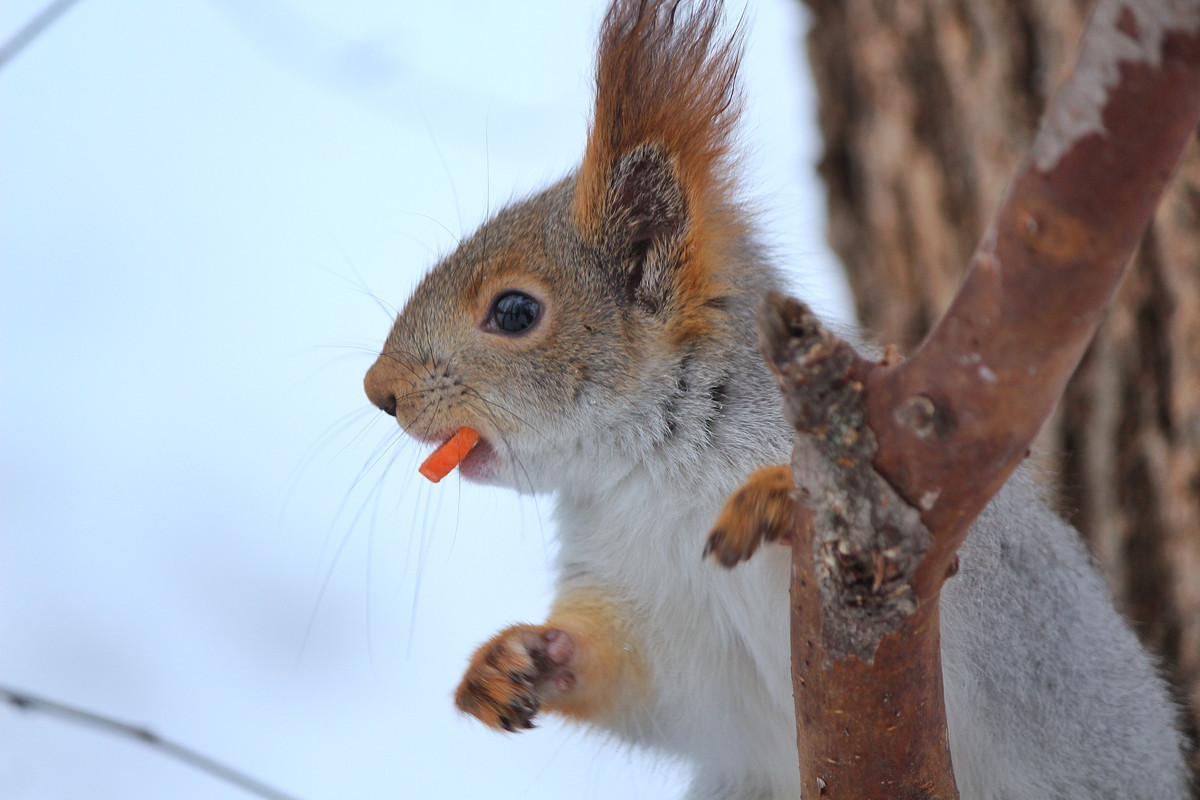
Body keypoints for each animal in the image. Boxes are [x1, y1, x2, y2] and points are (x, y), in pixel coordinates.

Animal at [360, 3, 1185, 796]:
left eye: (514, 312)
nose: (380, 392)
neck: (653, 477)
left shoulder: (965, 565)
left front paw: (778, 496)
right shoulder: (660, 618)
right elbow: (652, 691)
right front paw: (510, 663)